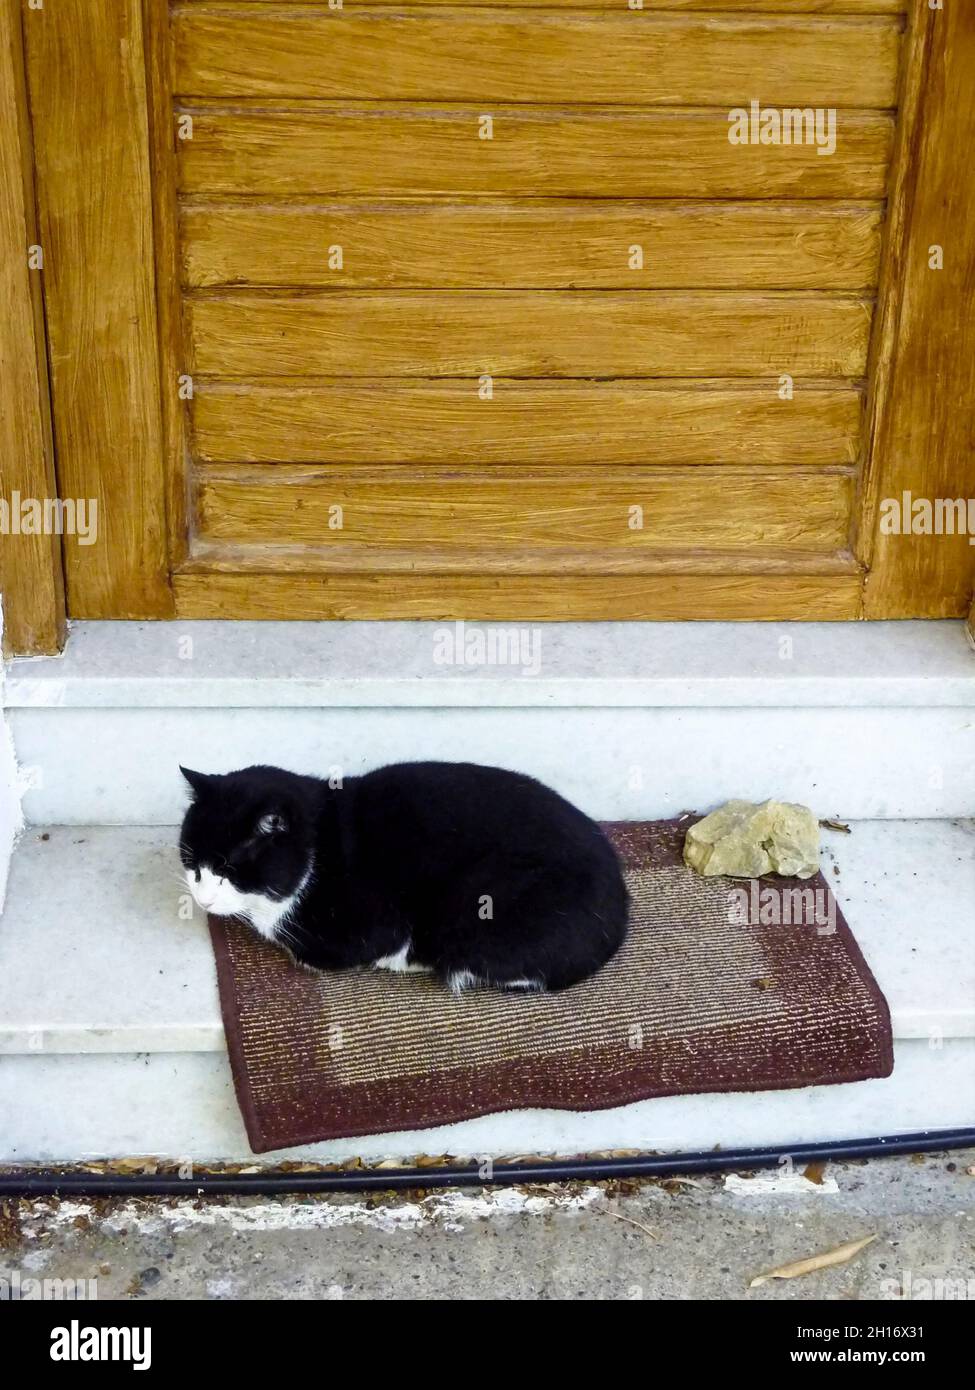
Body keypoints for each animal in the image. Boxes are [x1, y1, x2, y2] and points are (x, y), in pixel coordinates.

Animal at [179, 761, 628, 1000]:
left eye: (229, 870)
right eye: (193, 863)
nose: (202, 899)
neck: (318, 843)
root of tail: (620, 913)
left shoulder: (369, 923)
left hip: (477, 901)